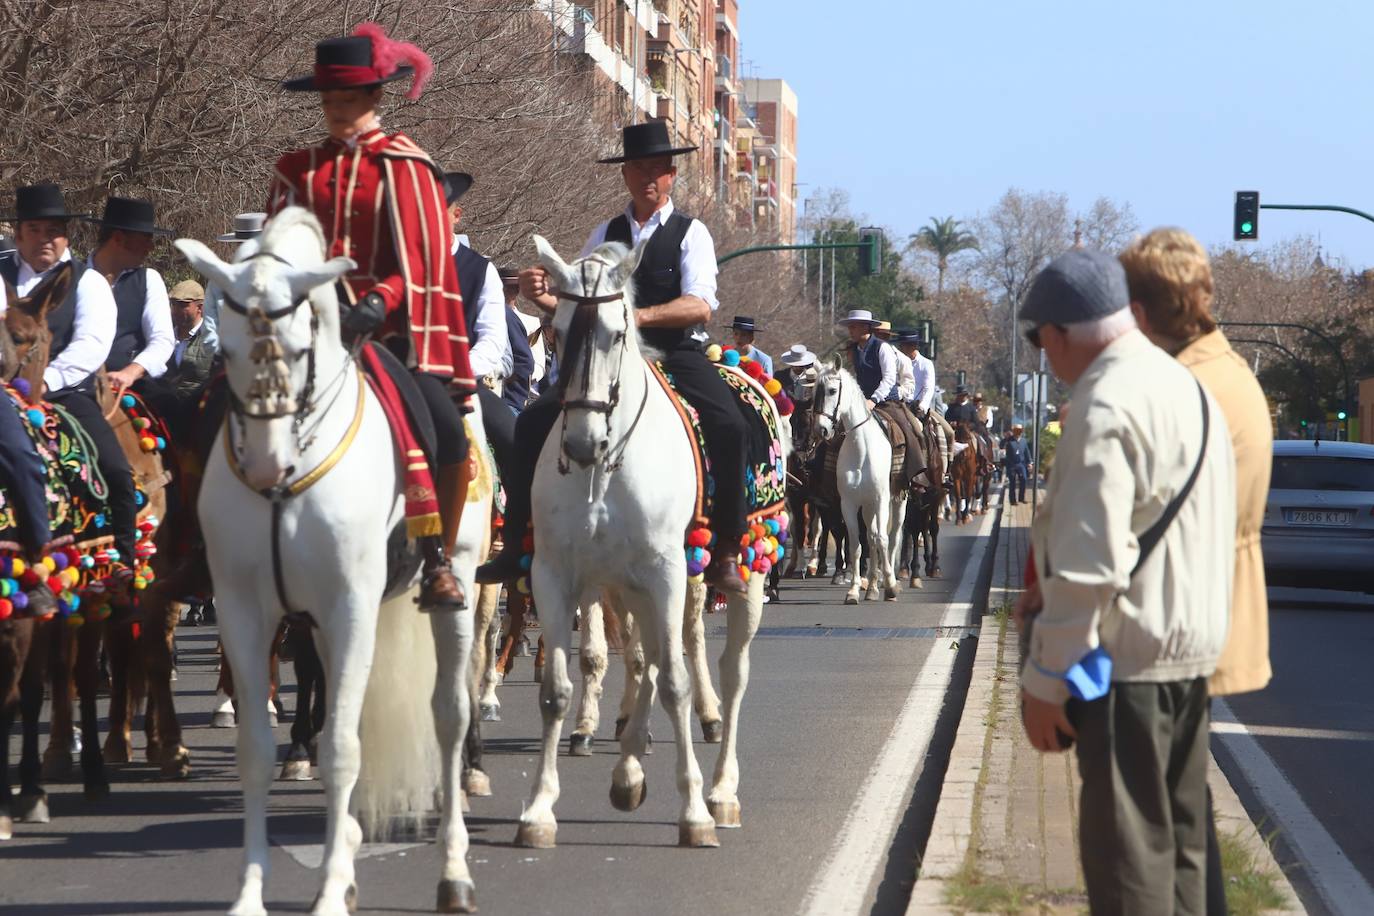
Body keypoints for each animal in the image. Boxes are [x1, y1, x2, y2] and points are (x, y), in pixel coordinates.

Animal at [175, 210, 489, 916]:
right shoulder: (247, 611)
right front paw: (253, 893)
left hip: (456, 589)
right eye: (226, 351)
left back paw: (454, 872)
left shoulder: (350, 607)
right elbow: (256, 750)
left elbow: (343, 747)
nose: (267, 466)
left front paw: (326, 893)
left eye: (299, 347)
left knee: (449, 716)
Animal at [516, 234, 780, 845]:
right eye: (556, 329)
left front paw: (694, 813)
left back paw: (721, 790)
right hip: (638, 584)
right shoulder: (557, 576)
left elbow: (677, 683)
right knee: (652, 657)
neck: (605, 468)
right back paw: (629, 770)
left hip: (739, 572)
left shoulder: (664, 572)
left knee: (730, 672)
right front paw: (539, 809)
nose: (582, 443)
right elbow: (558, 689)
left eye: (617, 333)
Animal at [813, 365, 901, 609]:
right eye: (815, 391)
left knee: (890, 537)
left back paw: (889, 580)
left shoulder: (881, 500)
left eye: (832, 390)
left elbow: (882, 539)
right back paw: (871, 587)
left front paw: (890, 586)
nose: (821, 430)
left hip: (895, 502)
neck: (862, 448)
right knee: (870, 538)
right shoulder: (849, 504)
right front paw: (853, 591)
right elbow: (855, 545)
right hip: (867, 507)